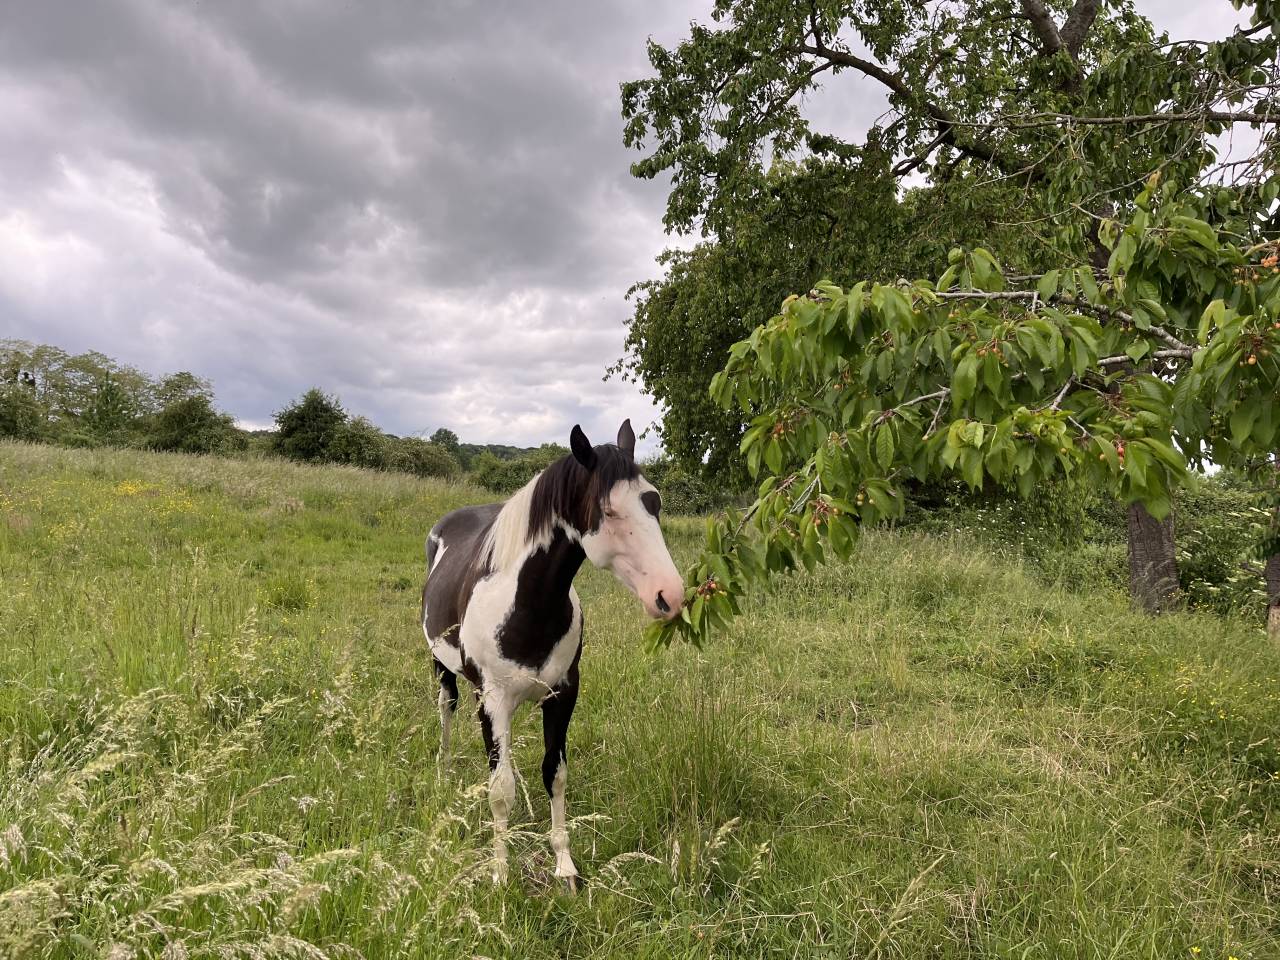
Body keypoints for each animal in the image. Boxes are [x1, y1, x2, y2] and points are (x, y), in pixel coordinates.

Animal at [420, 420, 684, 890]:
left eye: (654, 503)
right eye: (609, 512)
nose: (669, 595)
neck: (525, 604)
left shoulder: (563, 695)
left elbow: (554, 774)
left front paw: (565, 865)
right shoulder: (493, 701)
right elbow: (499, 789)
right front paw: (501, 873)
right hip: (444, 670)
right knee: (446, 707)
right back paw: (444, 772)